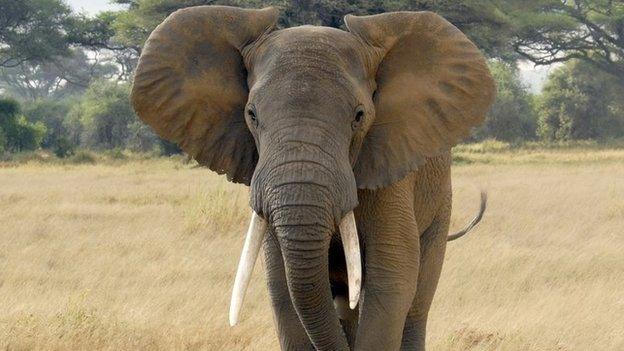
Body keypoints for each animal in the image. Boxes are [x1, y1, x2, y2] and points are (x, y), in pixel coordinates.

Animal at [129, 5, 494, 351]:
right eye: (251, 115)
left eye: (359, 116)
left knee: (416, 305)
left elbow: (390, 283)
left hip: (439, 207)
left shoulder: (391, 175)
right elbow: (283, 291)